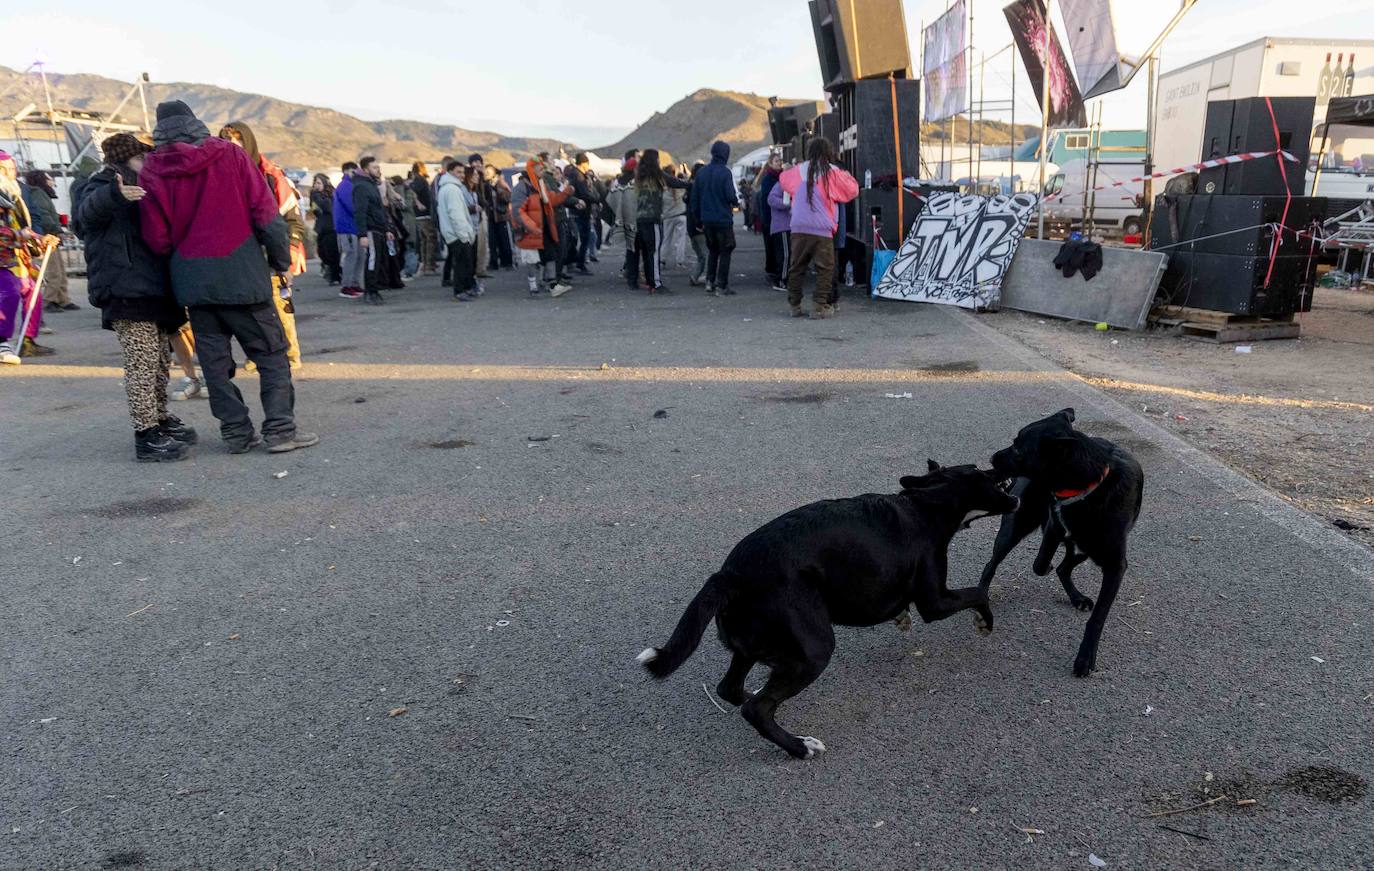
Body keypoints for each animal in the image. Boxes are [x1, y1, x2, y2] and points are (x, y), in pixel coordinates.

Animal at [637, 461, 1016, 752]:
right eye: (980, 471)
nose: (1001, 465)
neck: (924, 505)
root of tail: (730, 575)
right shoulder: (935, 601)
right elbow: (978, 594)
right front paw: (985, 621)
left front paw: (901, 617)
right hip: (814, 650)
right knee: (757, 710)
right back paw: (799, 747)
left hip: (755, 644)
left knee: (731, 690)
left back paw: (753, 694)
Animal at [978, 406, 1148, 670]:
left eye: (1017, 447)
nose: (992, 458)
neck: (1087, 491)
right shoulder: (1053, 528)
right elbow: (1039, 564)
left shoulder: (1115, 566)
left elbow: (1098, 617)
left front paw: (1086, 657)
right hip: (1016, 527)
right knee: (992, 564)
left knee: (1066, 565)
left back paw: (1076, 596)